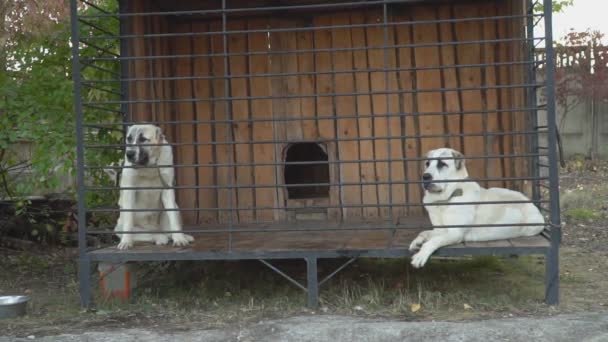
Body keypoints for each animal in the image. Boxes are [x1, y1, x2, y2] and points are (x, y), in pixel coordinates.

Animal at [408, 148, 548, 268]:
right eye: (427, 164)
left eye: (442, 164)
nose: (425, 176)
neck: (445, 200)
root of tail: (532, 204)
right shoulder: (441, 230)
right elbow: (424, 233)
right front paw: (417, 242)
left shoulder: (455, 233)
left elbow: (433, 241)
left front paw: (421, 255)